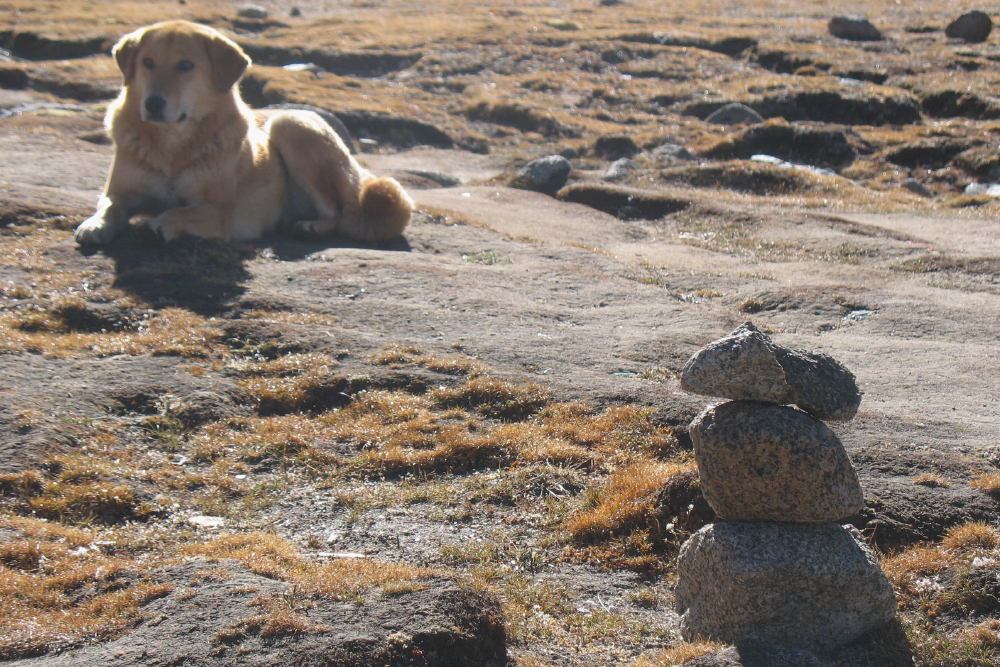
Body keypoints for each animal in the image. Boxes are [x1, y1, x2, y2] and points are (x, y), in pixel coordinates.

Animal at [72, 20, 412, 247]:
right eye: (147, 63)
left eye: (185, 65)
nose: (153, 104)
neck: (172, 145)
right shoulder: (119, 192)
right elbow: (109, 207)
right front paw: (95, 225)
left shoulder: (218, 211)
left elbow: (178, 212)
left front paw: (154, 224)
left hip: (289, 123)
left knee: (338, 214)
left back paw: (310, 226)